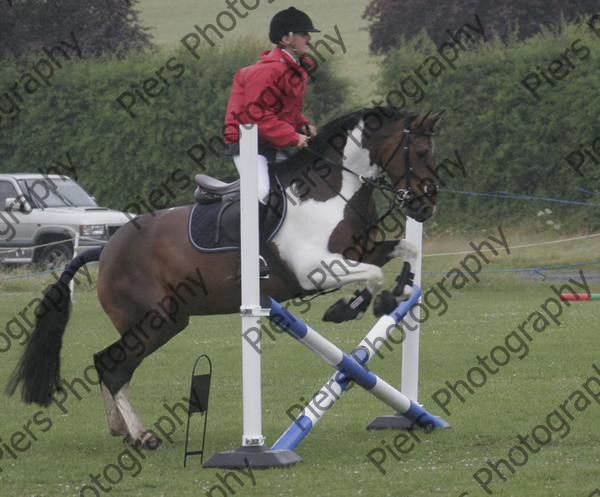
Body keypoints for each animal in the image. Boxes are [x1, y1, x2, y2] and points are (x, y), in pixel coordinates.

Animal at [5, 106, 440, 448]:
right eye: (420, 151)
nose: (426, 205)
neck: (331, 190)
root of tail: (107, 248)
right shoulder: (315, 269)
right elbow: (372, 274)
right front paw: (354, 306)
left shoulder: (357, 250)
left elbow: (406, 251)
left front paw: (394, 292)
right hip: (154, 320)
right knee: (113, 366)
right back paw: (143, 435)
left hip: (166, 321)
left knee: (106, 362)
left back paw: (122, 431)